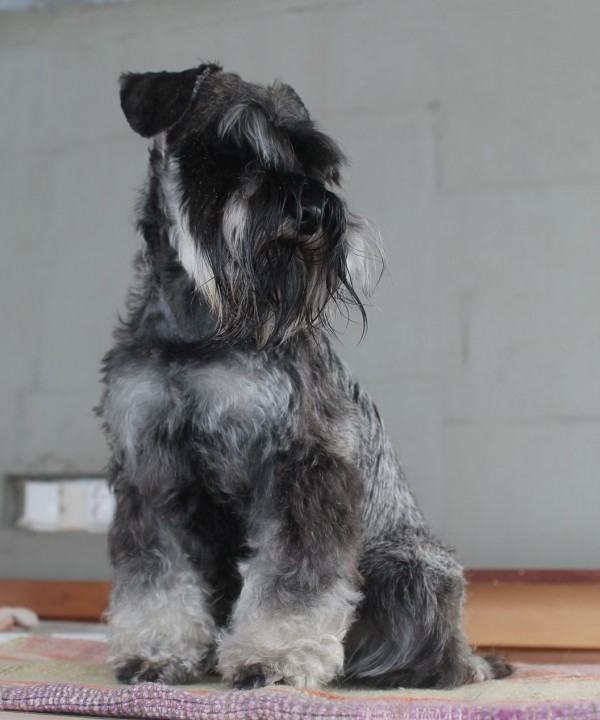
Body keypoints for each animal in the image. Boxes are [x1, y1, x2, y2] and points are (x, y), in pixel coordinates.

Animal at [98, 63, 510, 690]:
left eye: (317, 165)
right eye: (230, 150)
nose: (315, 211)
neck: (200, 329)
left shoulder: (300, 464)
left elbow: (293, 578)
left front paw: (275, 657)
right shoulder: (151, 470)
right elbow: (156, 573)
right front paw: (158, 650)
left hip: (409, 572)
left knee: (441, 658)